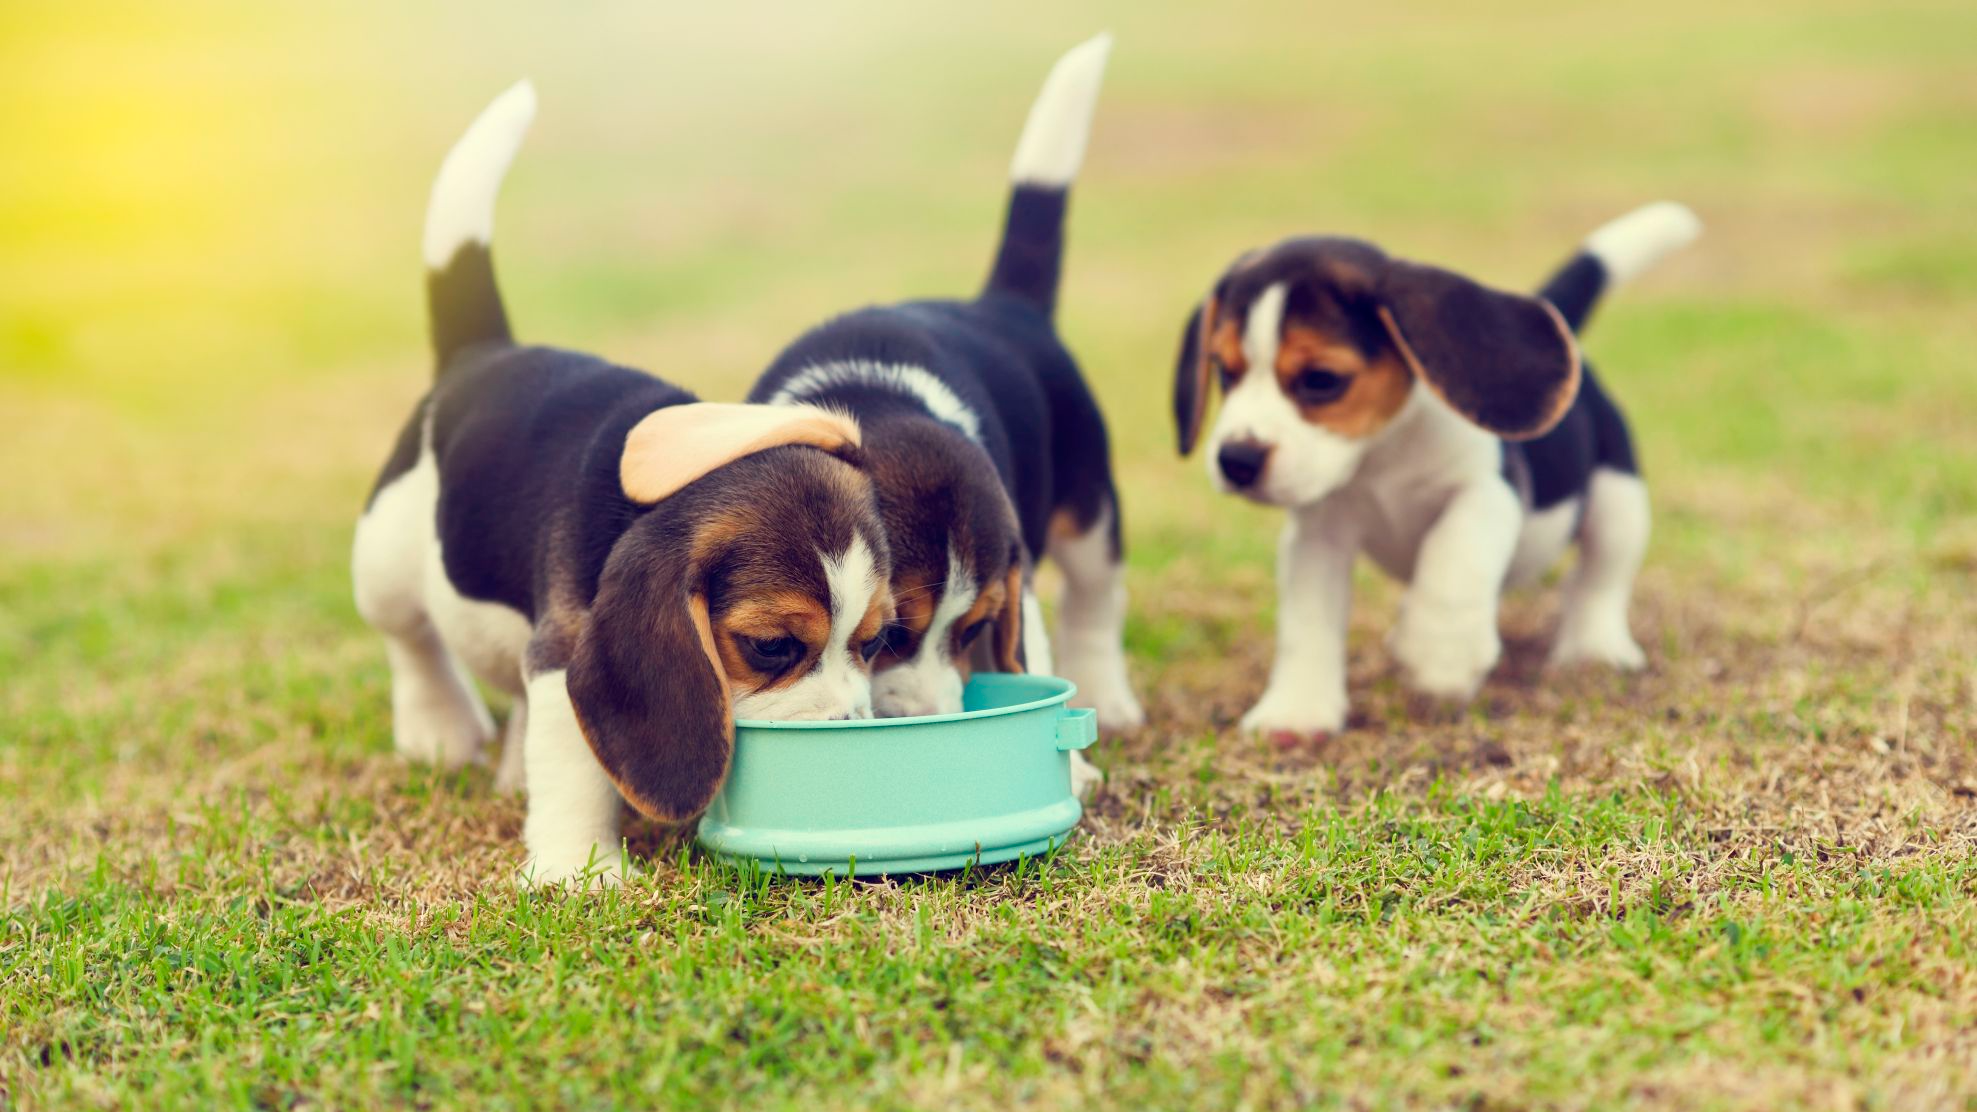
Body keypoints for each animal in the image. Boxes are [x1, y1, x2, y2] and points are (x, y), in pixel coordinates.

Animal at [351, 84, 893, 882]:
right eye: (769, 647)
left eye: (877, 639)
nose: (850, 736)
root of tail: (482, 351)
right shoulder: (568, 650)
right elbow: (575, 765)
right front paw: (581, 873)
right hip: (384, 554)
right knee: (408, 635)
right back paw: (439, 729)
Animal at [747, 39, 1146, 783]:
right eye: (888, 635)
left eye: (973, 628)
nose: (931, 721)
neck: (869, 396)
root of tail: (1003, 304)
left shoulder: (1016, 582)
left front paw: (1076, 769)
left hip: (1092, 513)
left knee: (1096, 603)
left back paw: (1110, 698)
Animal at [1170, 200, 1700, 736]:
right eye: (1225, 372)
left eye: (1321, 379)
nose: (1236, 460)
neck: (1381, 455)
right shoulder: (1317, 536)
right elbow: (1308, 621)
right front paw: (1296, 712)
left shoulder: (1488, 491)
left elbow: (1452, 554)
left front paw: (1442, 655)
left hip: (1619, 499)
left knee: (1599, 579)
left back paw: (1595, 648)